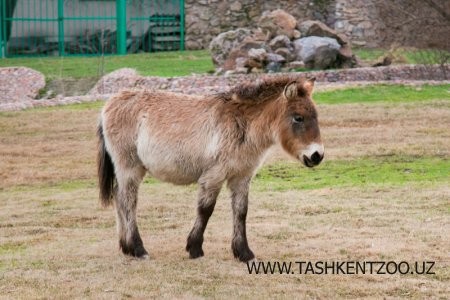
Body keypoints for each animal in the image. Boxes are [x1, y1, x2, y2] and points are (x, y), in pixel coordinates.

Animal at [97, 76, 324, 262]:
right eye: (298, 118)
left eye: (316, 116)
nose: (317, 156)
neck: (240, 124)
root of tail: (111, 103)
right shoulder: (214, 176)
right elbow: (206, 210)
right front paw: (195, 248)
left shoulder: (241, 177)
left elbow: (241, 212)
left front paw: (243, 253)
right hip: (129, 168)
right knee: (128, 202)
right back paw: (138, 249)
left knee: (120, 199)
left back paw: (126, 247)